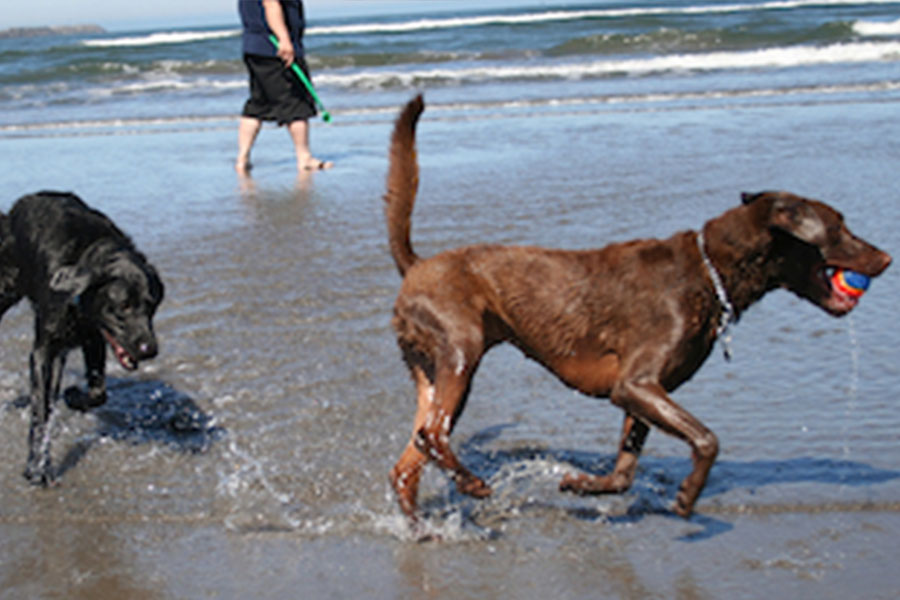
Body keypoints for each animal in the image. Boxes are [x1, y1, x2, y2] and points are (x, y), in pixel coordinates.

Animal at [0, 192, 163, 488]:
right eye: (123, 306)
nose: (149, 350)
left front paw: (74, 396)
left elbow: (98, 393)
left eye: (152, 305)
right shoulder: (42, 351)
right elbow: (39, 412)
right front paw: (37, 467)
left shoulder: (93, 337)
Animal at [382, 95, 892, 524]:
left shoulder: (644, 393)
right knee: (432, 435)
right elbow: (706, 438)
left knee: (407, 461)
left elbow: (625, 470)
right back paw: (471, 484)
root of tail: (417, 264)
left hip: (431, 370)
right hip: (460, 350)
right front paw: (686, 496)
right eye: (839, 227)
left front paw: (583, 485)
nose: (887, 257)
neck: (711, 271)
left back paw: (421, 527)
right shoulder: (637, 383)